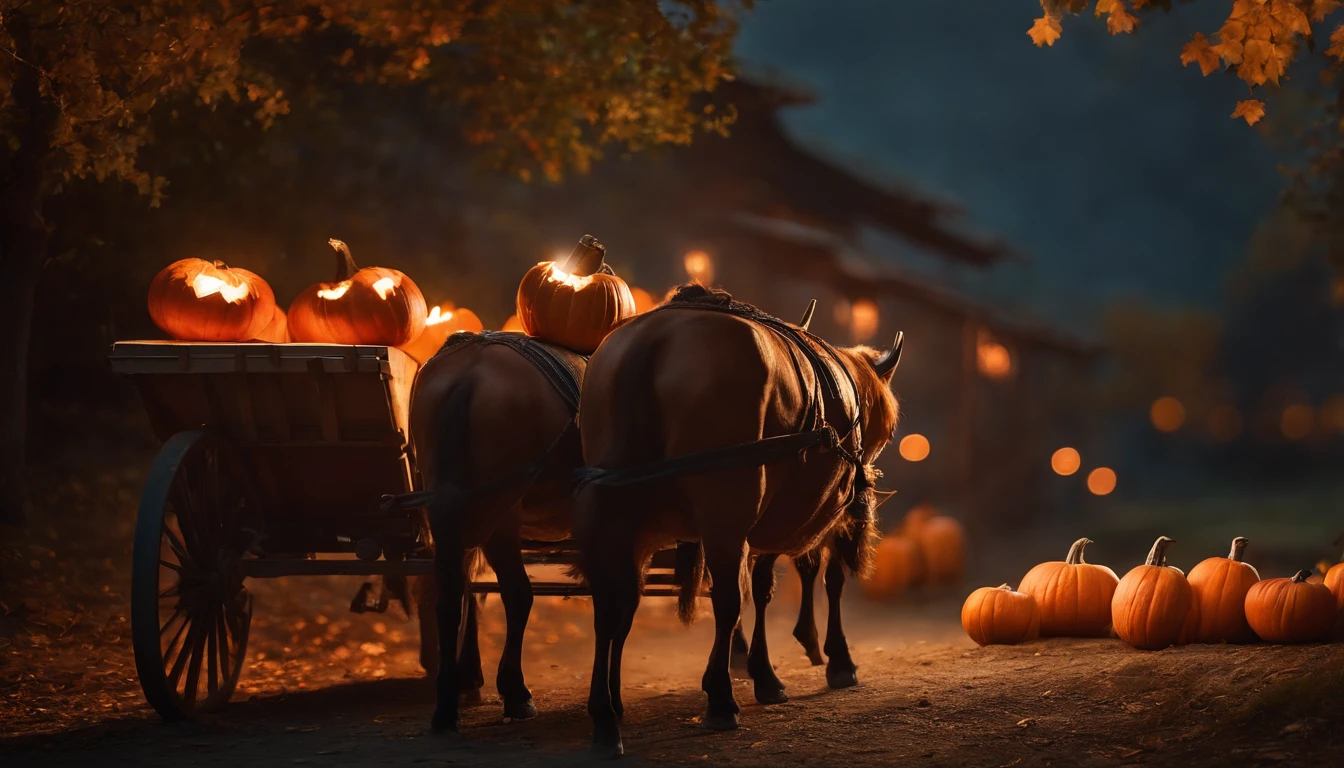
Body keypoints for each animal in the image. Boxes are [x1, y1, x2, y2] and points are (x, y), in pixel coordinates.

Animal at [403, 333, 583, 737]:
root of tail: (471, 372)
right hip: (502, 512)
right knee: (517, 595)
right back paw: (515, 692)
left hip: (449, 513)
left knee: (450, 596)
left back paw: (448, 704)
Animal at [572, 283, 897, 758]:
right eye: (886, 434)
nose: (867, 484)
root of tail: (650, 341)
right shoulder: (805, 518)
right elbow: (820, 580)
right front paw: (835, 658)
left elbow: (763, 588)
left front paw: (765, 671)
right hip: (724, 514)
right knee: (725, 601)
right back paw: (720, 698)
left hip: (618, 523)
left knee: (614, 607)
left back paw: (607, 712)